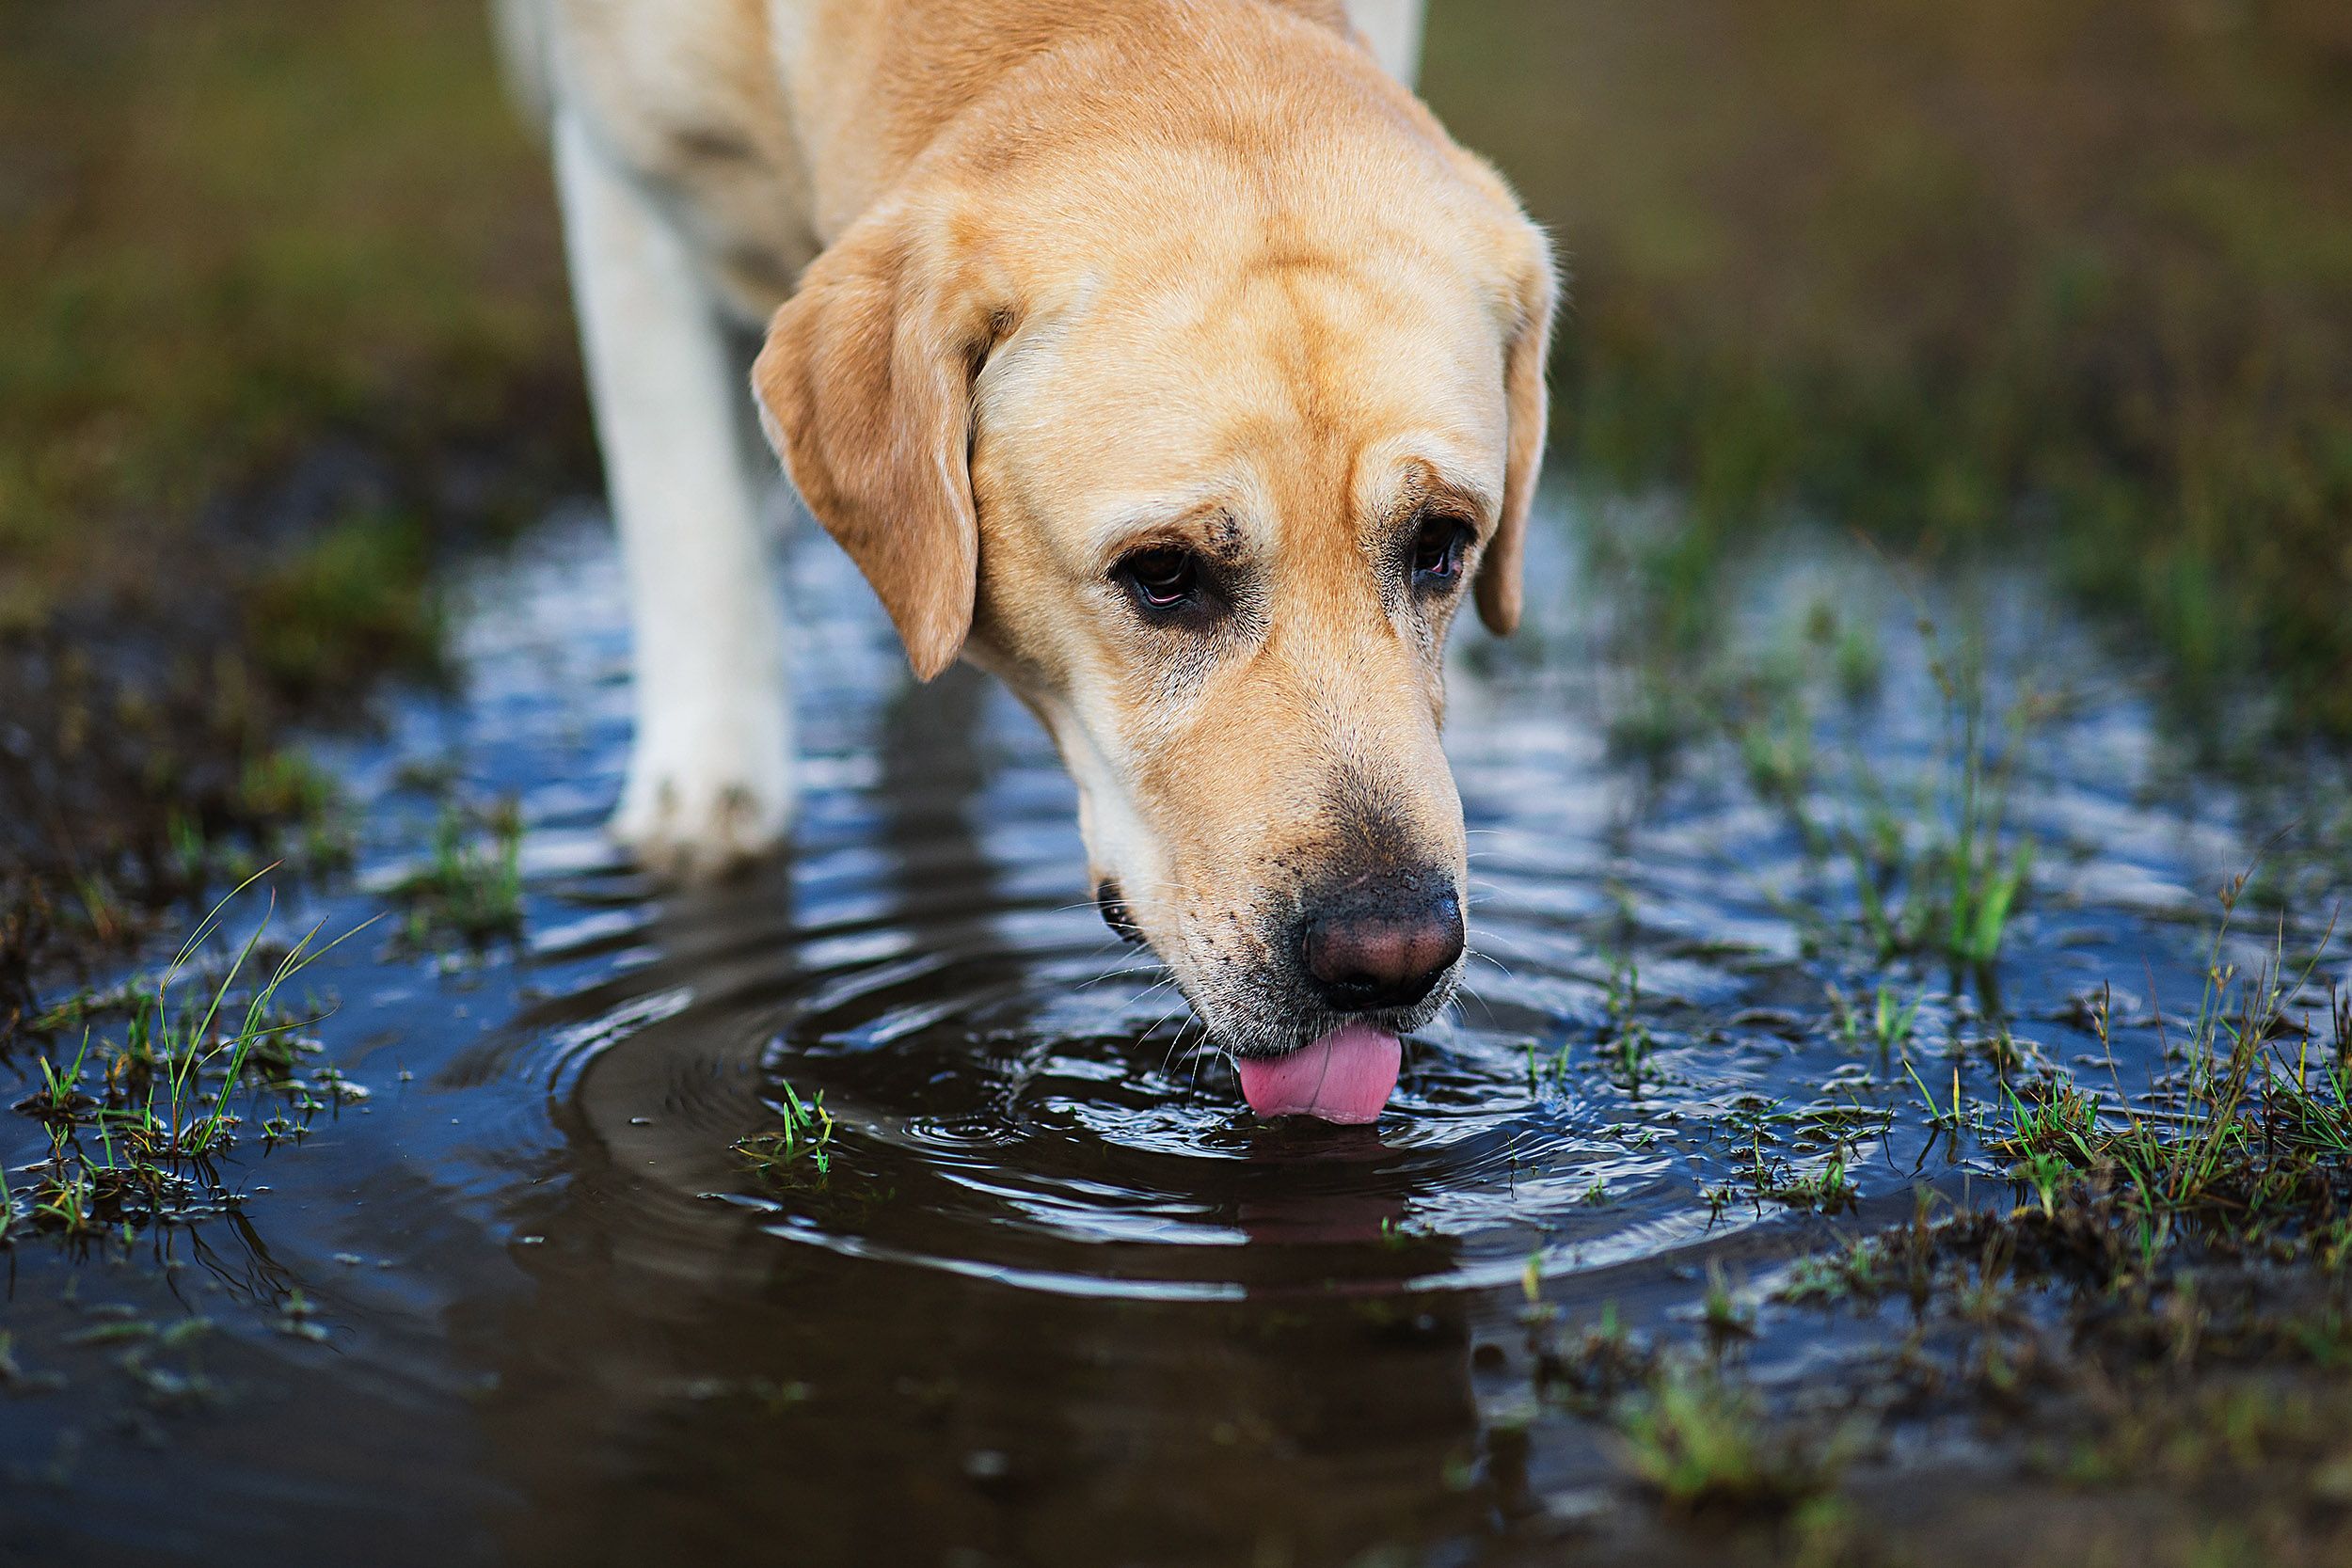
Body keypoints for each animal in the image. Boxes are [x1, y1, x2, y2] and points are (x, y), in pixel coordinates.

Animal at [499, 3, 1552, 1128]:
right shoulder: (624, 192)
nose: (1393, 957)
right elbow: (688, 515)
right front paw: (707, 792)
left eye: (1442, 545)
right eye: (1163, 574)